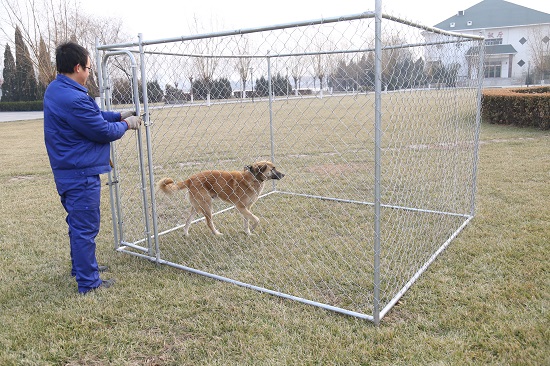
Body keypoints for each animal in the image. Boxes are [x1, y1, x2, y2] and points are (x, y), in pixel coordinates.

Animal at [155, 161, 284, 236]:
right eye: (273, 169)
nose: (284, 175)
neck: (253, 178)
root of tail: (190, 179)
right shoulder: (241, 207)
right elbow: (256, 219)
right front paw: (252, 228)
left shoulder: (246, 208)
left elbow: (247, 221)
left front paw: (248, 232)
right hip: (207, 206)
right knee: (209, 223)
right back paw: (216, 233)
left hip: (197, 207)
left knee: (187, 221)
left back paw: (186, 233)